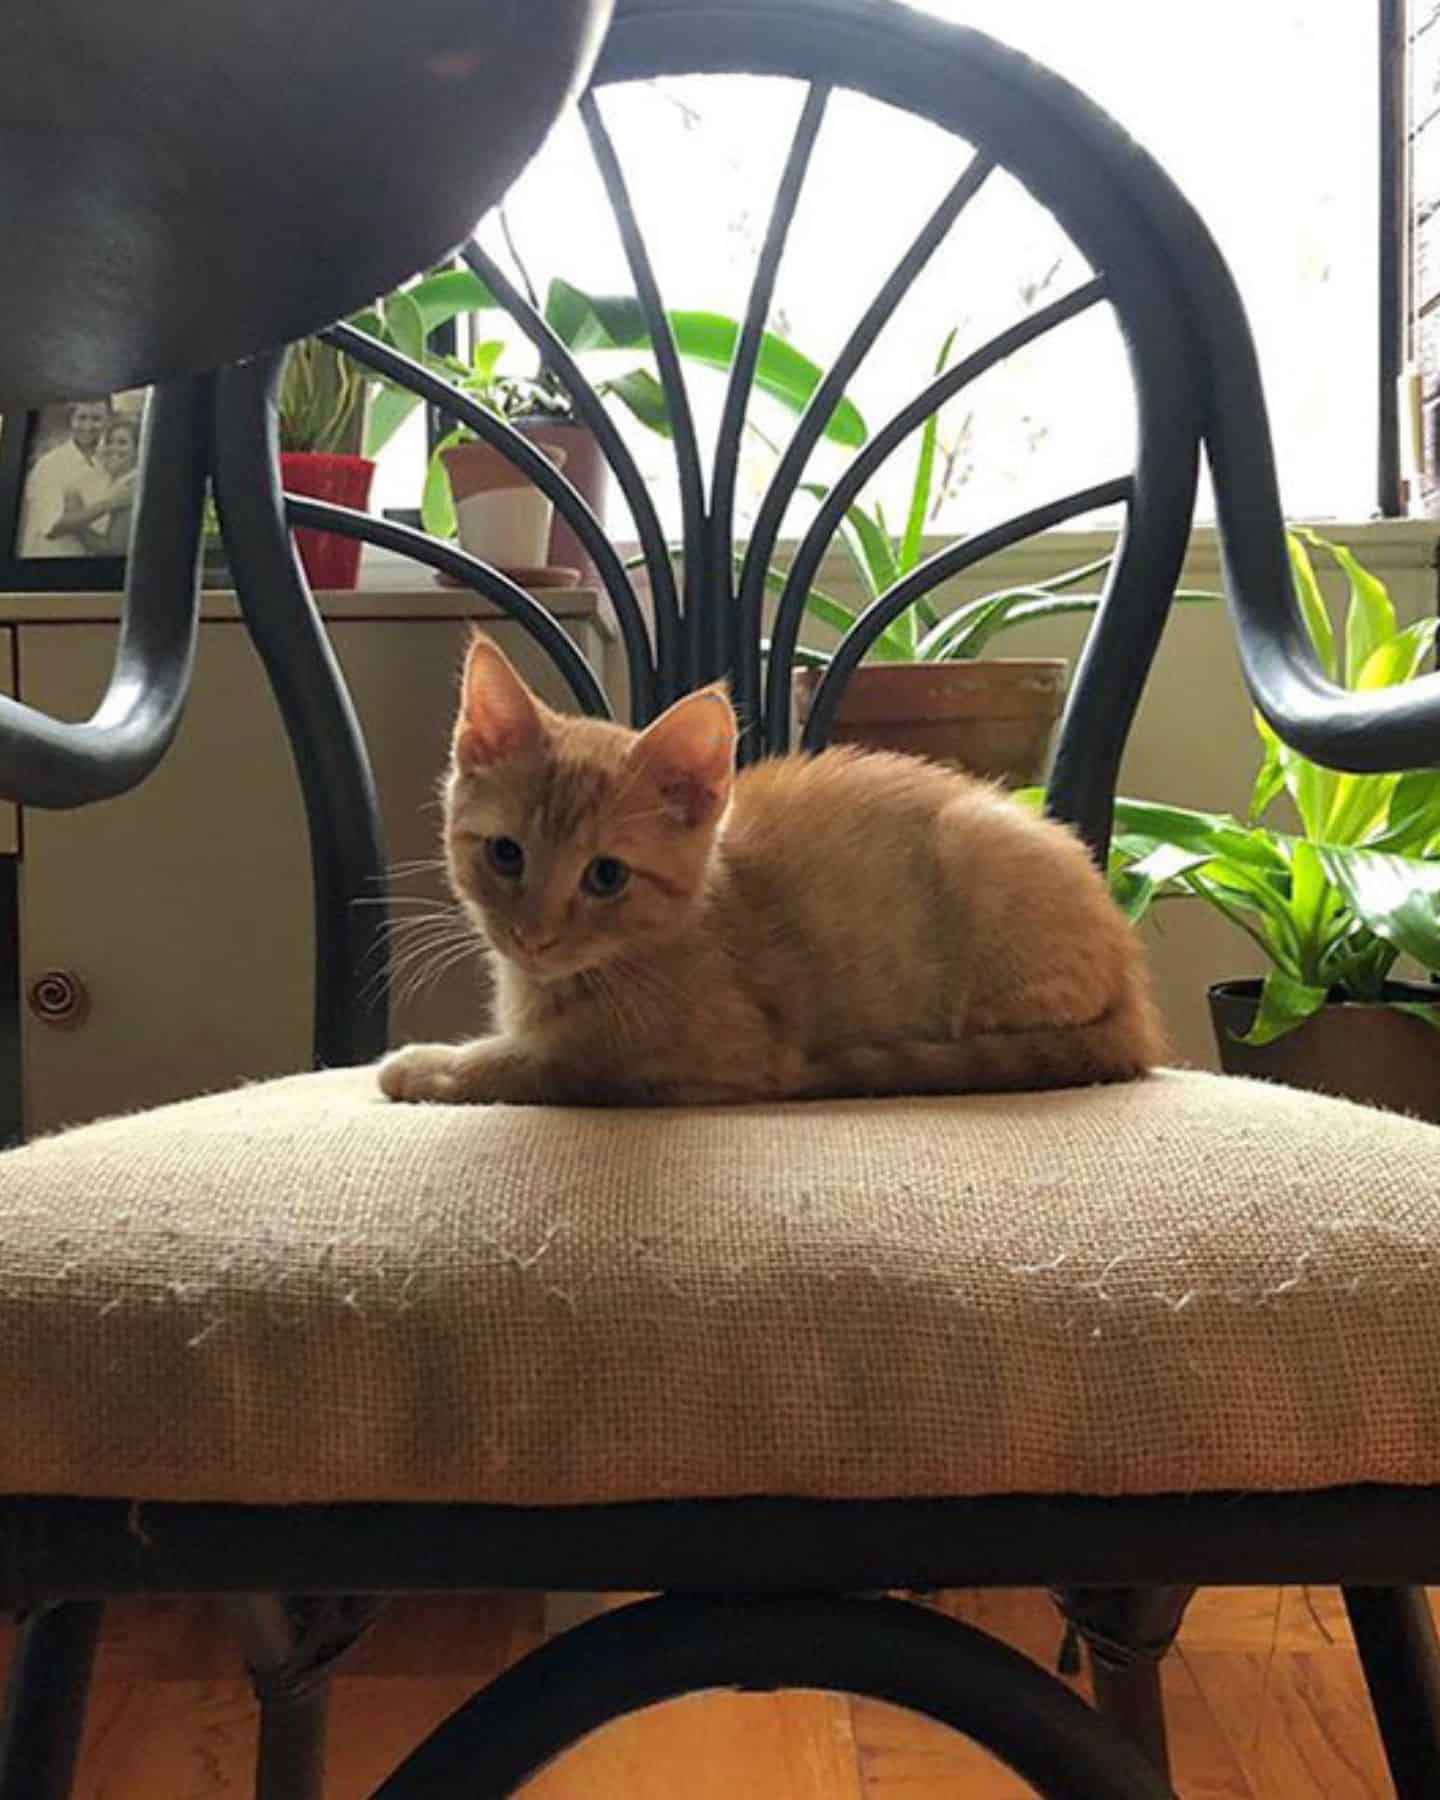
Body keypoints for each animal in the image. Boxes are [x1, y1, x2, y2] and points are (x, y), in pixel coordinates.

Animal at [376, 633, 1166, 1108]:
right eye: (505, 854)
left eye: (606, 877)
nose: (532, 936)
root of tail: (1131, 979)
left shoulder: (712, 1059)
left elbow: (550, 1065)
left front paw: (426, 1065)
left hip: (980, 853)